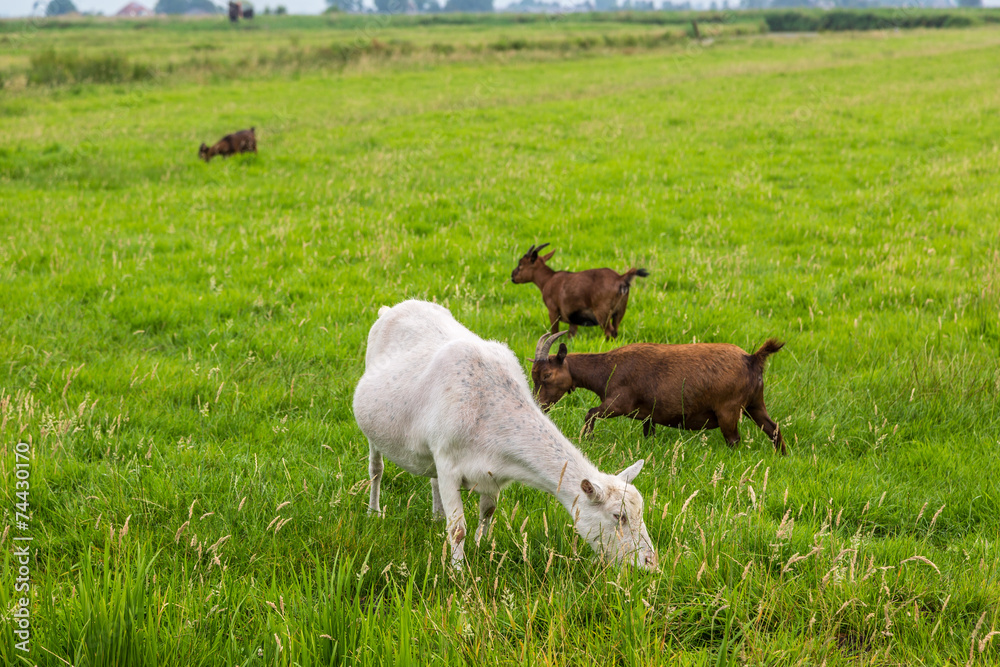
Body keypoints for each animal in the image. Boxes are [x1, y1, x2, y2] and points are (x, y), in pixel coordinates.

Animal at [353, 300, 658, 569]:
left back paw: (436, 516)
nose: (651, 563)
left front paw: (481, 547)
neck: (489, 411)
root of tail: (390, 309)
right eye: (618, 516)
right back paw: (374, 511)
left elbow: (487, 512)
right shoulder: (449, 463)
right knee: (376, 469)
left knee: (431, 477)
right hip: (374, 431)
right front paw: (459, 573)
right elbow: (457, 529)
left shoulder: (492, 475)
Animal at [511, 243, 648, 340]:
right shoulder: (573, 317)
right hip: (620, 311)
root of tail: (620, 278)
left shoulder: (553, 310)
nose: (512, 276)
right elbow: (571, 335)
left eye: (521, 264)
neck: (548, 279)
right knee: (615, 331)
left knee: (609, 332)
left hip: (602, 312)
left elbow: (554, 332)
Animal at [531, 331, 787, 454]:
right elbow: (648, 434)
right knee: (773, 428)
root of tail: (752, 359)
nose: (538, 404)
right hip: (755, 403)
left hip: (729, 409)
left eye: (546, 375)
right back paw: (781, 456)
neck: (607, 368)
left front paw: (588, 439)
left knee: (734, 439)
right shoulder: (648, 415)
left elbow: (590, 412)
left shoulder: (618, 403)